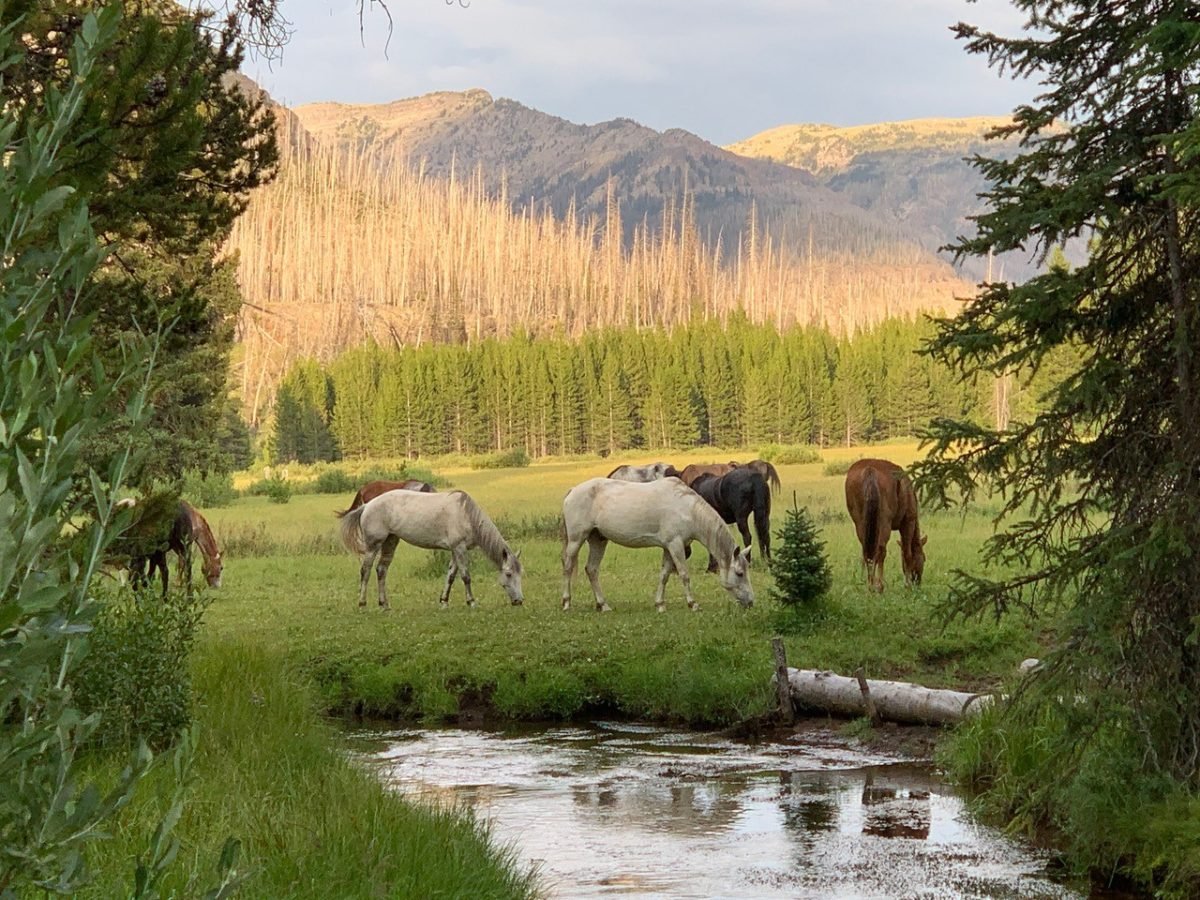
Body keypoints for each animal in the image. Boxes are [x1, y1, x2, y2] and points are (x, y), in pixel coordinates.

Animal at [339, 489, 524, 610]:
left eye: (520, 574)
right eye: (508, 574)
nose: (519, 601)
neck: (466, 514)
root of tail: (367, 506)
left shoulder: (456, 550)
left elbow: (451, 576)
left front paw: (444, 601)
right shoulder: (459, 548)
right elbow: (465, 576)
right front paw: (471, 601)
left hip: (390, 541)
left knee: (381, 570)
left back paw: (384, 604)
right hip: (373, 545)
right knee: (366, 571)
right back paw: (362, 604)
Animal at [560, 477, 754, 612]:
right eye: (740, 573)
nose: (751, 602)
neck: (687, 509)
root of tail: (572, 491)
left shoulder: (669, 547)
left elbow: (664, 575)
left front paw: (660, 604)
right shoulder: (675, 545)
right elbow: (684, 574)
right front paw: (693, 604)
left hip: (598, 540)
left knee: (592, 570)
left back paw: (603, 605)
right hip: (577, 539)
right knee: (568, 566)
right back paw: (566, 603)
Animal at [844, 459, 926, 592]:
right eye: (924, 557)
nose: (918, 582)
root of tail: (870, 470)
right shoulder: (908, 522)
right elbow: (907, 554)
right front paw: (907, 585)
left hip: (860, 523)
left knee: (868, 552)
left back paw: (870, 586)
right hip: (884, 522)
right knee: (880, 551)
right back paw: (880, 587)